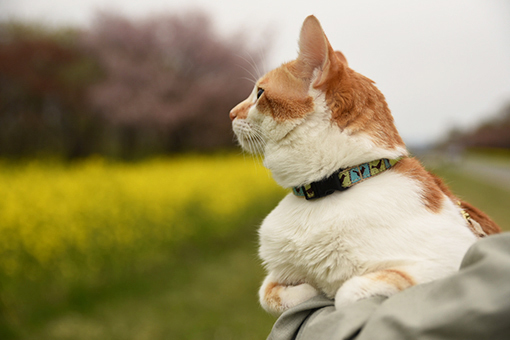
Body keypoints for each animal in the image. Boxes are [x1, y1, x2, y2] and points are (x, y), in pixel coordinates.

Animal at [229, 14, 500, 314]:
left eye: (259, 94)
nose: (231, 113)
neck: (339, 182)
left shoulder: (450, 262)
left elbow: (346, 294)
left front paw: (327, 292)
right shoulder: (275, 279)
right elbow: (268, 294)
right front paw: (308, 289)